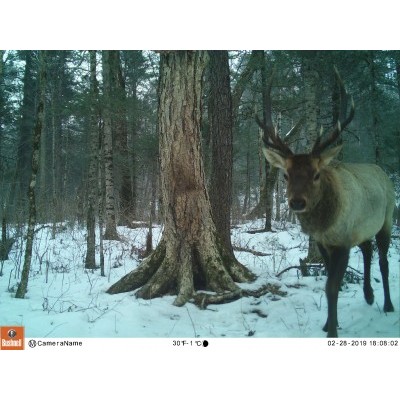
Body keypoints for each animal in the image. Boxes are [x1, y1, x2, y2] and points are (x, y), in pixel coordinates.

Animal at [258, 69, 396, 338]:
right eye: (286, 175)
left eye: (316, 174)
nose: (297, 202)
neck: (325, 225)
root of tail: (381, 172)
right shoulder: (324, 243)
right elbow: (331, 282)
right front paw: (328, 323)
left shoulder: (342, 241)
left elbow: (332, 286)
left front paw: (332, 331)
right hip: (361, 228)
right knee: (367, 250)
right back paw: (369, 295)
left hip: (387, 218)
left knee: (383, 261)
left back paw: (387, 304)